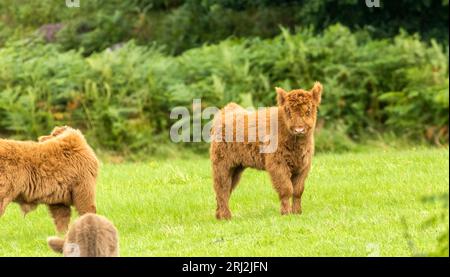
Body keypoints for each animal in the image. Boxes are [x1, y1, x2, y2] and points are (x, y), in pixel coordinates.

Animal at [211, 81, 324, 218]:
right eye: (288, 111)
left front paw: (297, 212)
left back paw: (219, 216)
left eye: (308, 110)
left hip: (236, 168)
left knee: (227, 189)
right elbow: (286, 188)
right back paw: (226, 216)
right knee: (222, 188)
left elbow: (298, 190)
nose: (299, 129)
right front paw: (286, 213)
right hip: (222, 164)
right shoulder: (278, 164)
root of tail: (226, 109)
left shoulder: (303, 166)